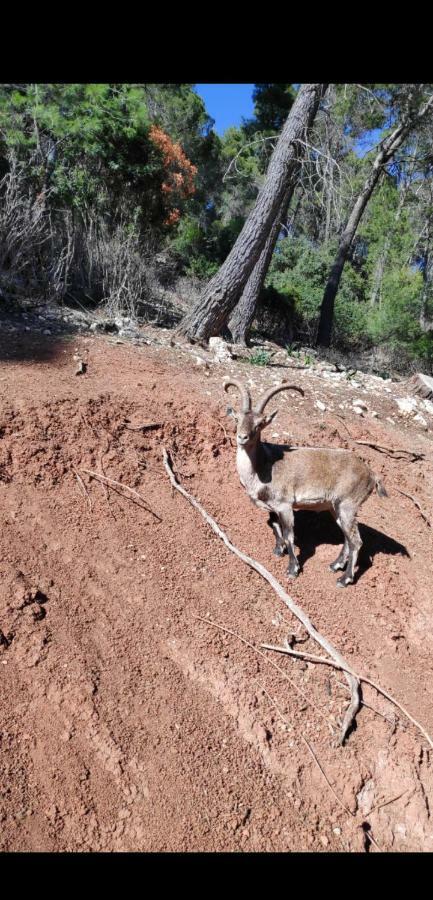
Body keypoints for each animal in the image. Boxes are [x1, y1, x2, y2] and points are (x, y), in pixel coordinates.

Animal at [224, 376, 386, 588]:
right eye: (237, 419)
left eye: (260, 424)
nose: (242, 437)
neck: (263, 466)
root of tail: (371, 474)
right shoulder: (274, 507)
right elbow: (275, 527)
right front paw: (278, 551)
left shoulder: (285, 505)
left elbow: (289, 535)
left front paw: (292, 569)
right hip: (336, 507)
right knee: (347, 537)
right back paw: (335, 565)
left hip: (348, 504)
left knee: (356, 541)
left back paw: (344, 578)